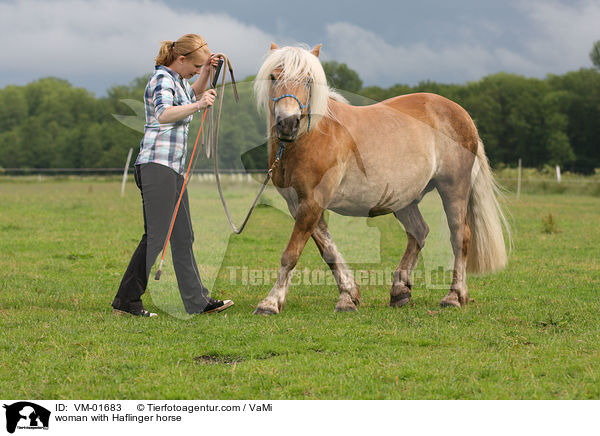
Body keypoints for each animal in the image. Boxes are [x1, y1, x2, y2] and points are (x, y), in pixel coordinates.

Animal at [251, 42, 508, 314]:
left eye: (308, 79)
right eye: (273, 77)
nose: (288, 123)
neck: (311, 137)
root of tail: (462, 114)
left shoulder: (313, 202)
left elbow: (291, 253)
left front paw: (270, 302)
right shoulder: (299, 205)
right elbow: (329, 252)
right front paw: (348, 296)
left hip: (454, 188)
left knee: (459, 236)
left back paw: (454, 296)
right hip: (404, 200)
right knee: (419, 232)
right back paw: (400, 291)